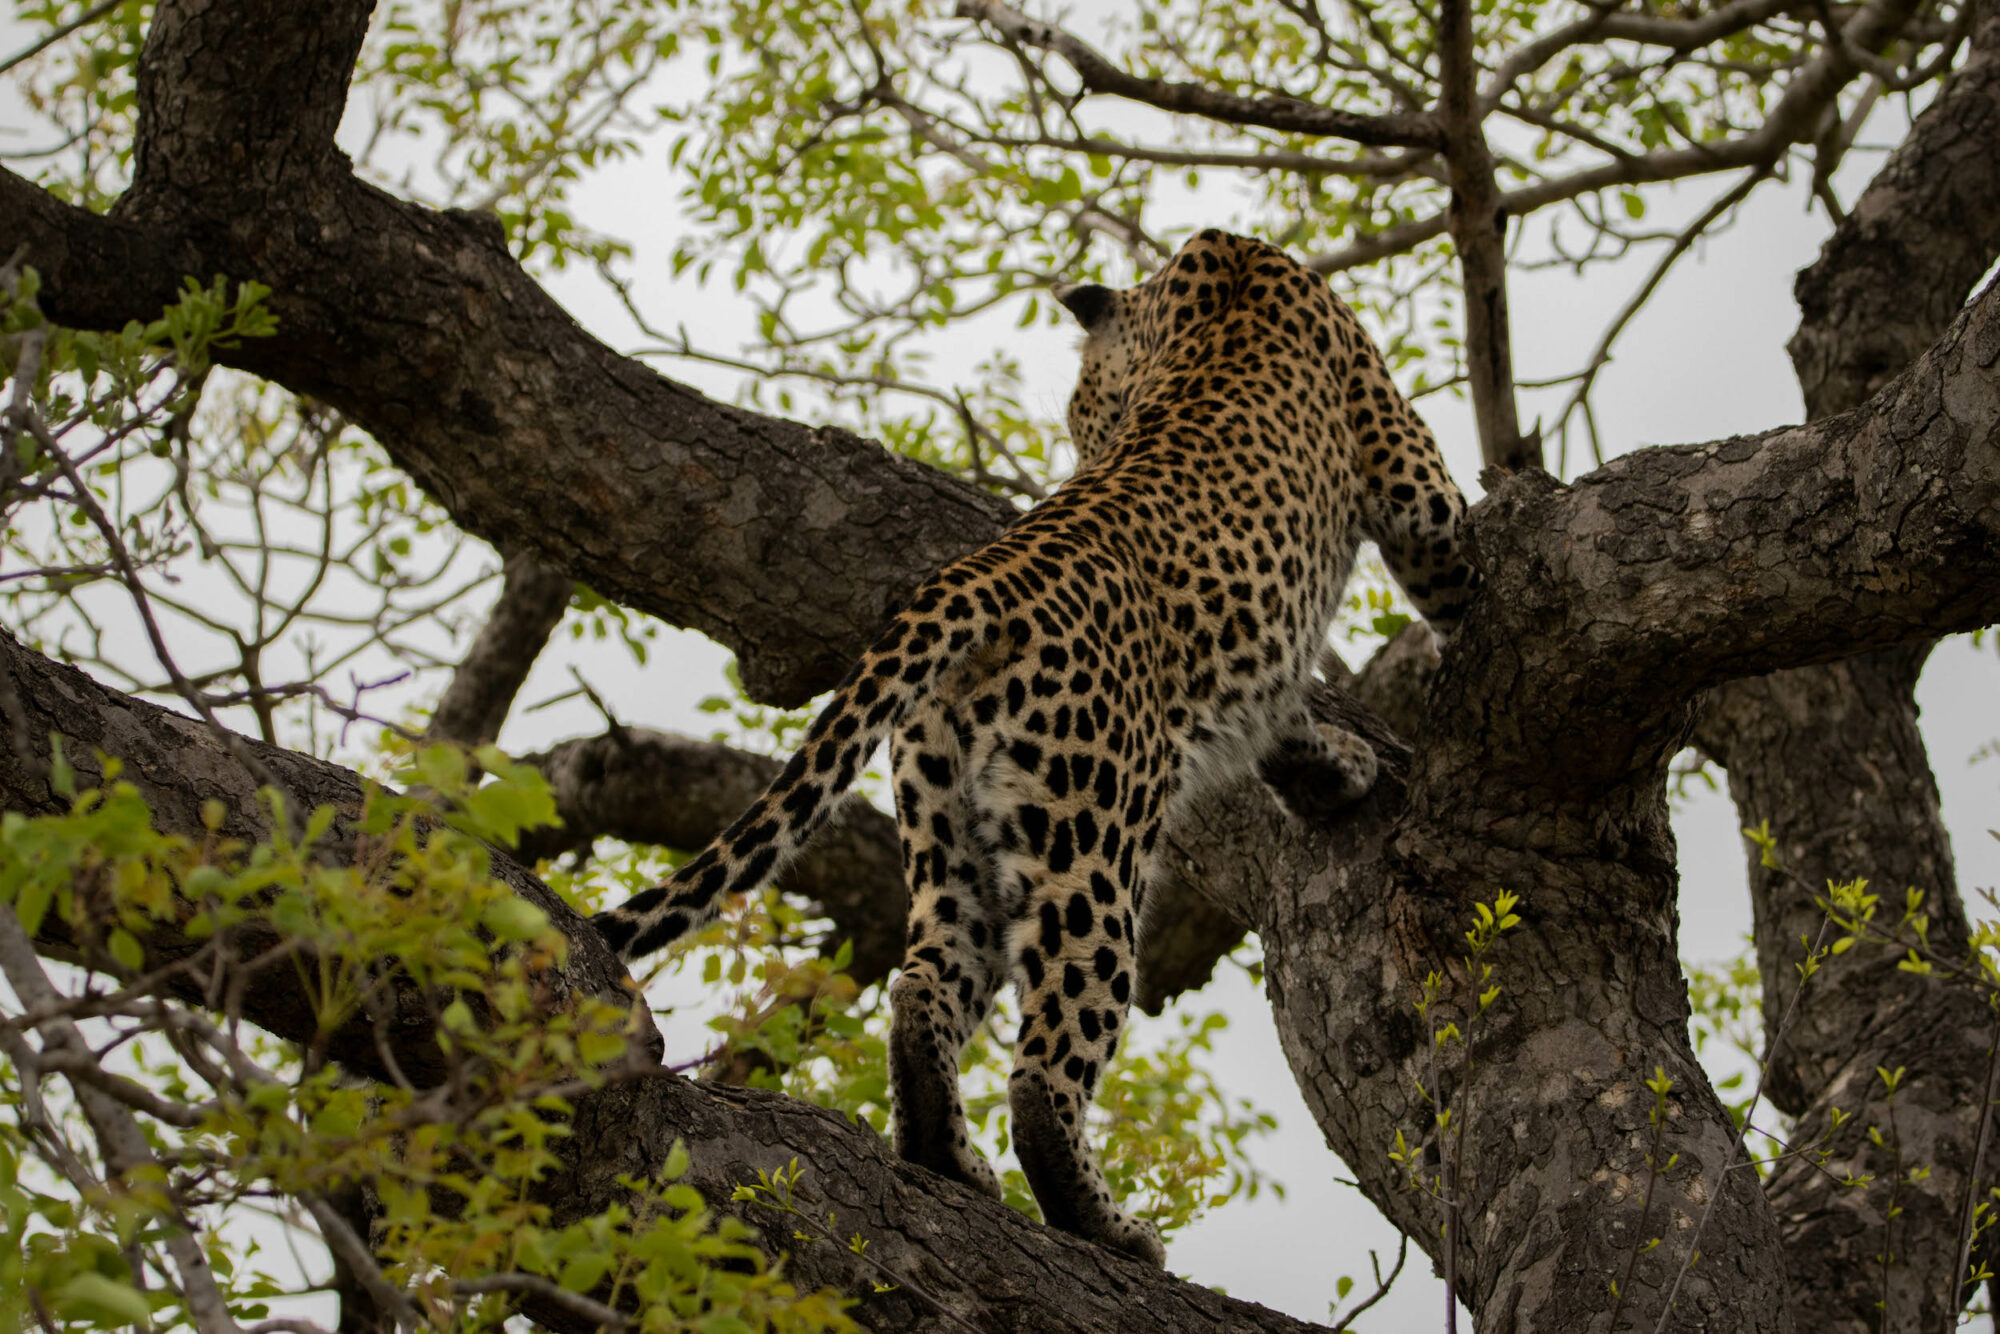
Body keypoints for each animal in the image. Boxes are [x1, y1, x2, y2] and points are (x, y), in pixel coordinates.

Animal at [591, 228, 1478, 1267]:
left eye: (1087, 410)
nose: (1085, 442)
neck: (1209, 274)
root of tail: (974, 580)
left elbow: (1284, 718)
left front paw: (1338, 770)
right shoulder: (1404, 468)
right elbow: (1453, 568)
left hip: (947, 822)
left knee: (923, 986)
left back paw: (950, 1160)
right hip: (1091, 839)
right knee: (1044, 1067)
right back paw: (1105, 1224)